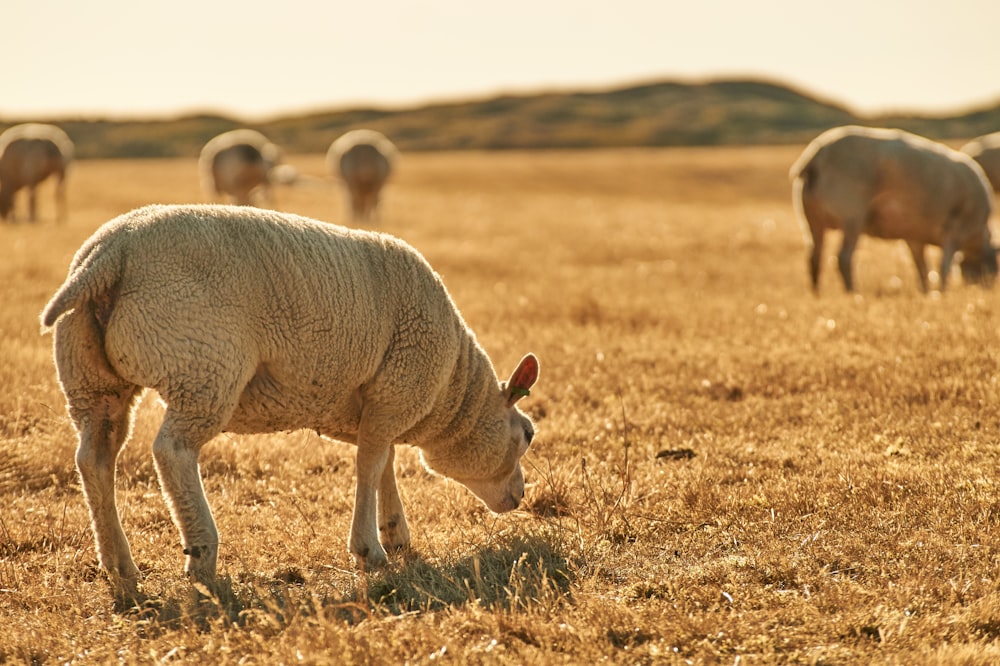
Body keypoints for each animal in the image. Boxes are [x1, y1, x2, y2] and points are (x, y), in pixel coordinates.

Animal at [41, 204, 540, 600]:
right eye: (528, 435)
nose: (520, 496)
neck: (452, 388)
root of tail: (110, 254)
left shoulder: (376, 403)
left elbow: (384, 464)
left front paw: (396, 534)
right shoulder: (396, 387)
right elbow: (370, 466)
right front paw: (371, 550)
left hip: (89, 375)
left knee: (94, 458)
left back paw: (119, 566)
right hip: (201, 363)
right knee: (172, 451)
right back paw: (202, 554)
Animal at [788, 124, 992, 290]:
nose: (987, 286)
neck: (976, 236)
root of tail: (816, 156)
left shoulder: (915, 236)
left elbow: (922, 267)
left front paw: (926, 292)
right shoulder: (955, 229)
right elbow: (944, 267)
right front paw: (941, 292)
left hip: (811, 217)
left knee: (814, 257)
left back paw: (817, 294)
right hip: (852, 214)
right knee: (843, 258)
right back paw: (853, 293)